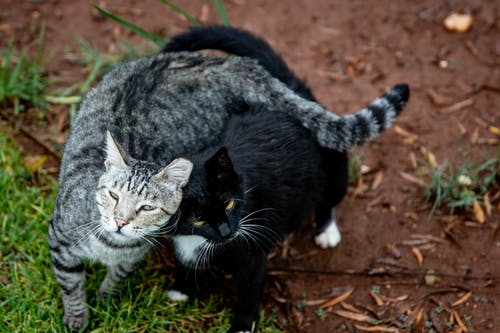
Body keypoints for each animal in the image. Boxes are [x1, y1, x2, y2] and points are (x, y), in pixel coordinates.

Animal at [50, 50, 408, 328]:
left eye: (147, 207)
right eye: (113, 195)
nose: (120, 221)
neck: (111, 245)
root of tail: (227, 63)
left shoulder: (134, 256)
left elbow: (116, 277)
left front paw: (106, 299)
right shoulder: (59, 240)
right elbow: (70, 285)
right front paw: (77, 316)